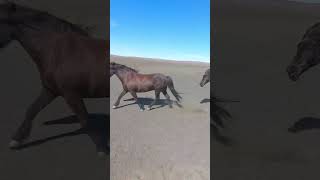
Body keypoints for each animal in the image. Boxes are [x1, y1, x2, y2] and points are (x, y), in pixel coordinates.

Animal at [0, 2, 109, 150]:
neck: (57, 52)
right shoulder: (50, 91)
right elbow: (31, 110)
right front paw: (16, 140)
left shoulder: (71, 95)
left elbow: (85, 120)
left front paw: (102, 150)